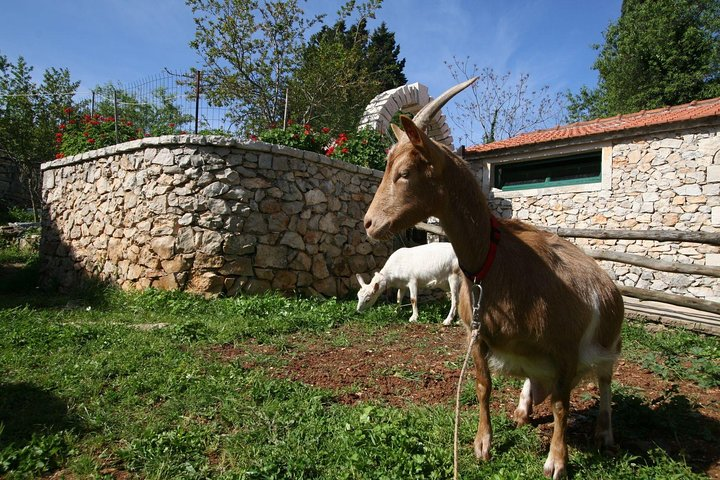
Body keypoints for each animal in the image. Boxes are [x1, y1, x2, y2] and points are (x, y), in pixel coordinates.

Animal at [366, 78, 624, 476]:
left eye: (405, 173)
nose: (368, 224)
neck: (492, 262)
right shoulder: (477, 337)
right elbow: (483, 385)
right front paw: (482, 444)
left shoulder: (565, 348)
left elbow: (562, 405)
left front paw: (557, 461)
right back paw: (522, 409)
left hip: (609, 342)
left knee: (607, 381)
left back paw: (604, 433)